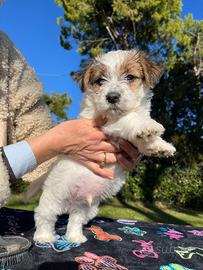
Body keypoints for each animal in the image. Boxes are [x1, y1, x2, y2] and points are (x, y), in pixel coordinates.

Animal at [33, 49, 174, 244]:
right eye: (100, 80)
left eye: (130, 77)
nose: (112, 97)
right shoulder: (104, 123)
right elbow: (128, 119)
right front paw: (147, 126)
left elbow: (143, 140)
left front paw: (161, 146)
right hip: (54, 197)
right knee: (44, 215)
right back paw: (44, 237)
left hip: (85, 207)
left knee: (75, 220)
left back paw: (75, 238)